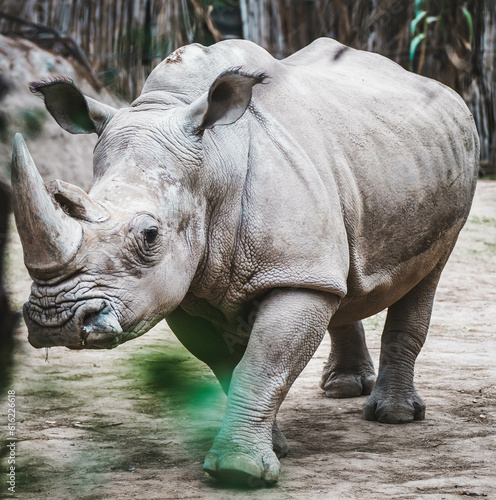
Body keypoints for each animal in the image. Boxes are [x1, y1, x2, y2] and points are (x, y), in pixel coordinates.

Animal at [10, 38, 476, 484]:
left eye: (150, 235)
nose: (55, 320)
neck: (215, 161)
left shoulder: (292, 275)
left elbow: (263, 365)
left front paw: (240, 471)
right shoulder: (186, 289)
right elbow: (229, 367)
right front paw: (274, 447)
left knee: (426, 274)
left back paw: (393, 416)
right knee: (340, 278)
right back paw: (343, 388)